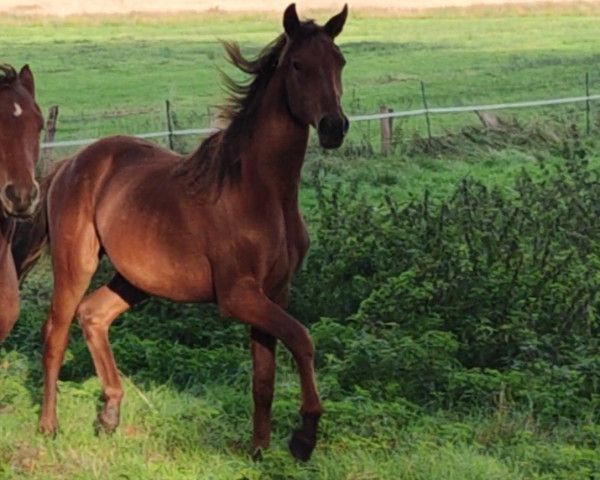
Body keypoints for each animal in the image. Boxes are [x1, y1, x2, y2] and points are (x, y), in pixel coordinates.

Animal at [15, 3, 346, 462]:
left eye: (339, 61)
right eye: (298, 64)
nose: (335, 127)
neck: (259, 191)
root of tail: (71, 164)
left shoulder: (274, 293)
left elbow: (264, 378)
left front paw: (259, 451)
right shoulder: (238, 296)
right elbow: (303, 338)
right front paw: (303, 437)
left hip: (136, 278)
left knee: (93, 315)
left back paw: (109, 414)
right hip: (75, 265)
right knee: (55, 335)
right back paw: (49, 426)